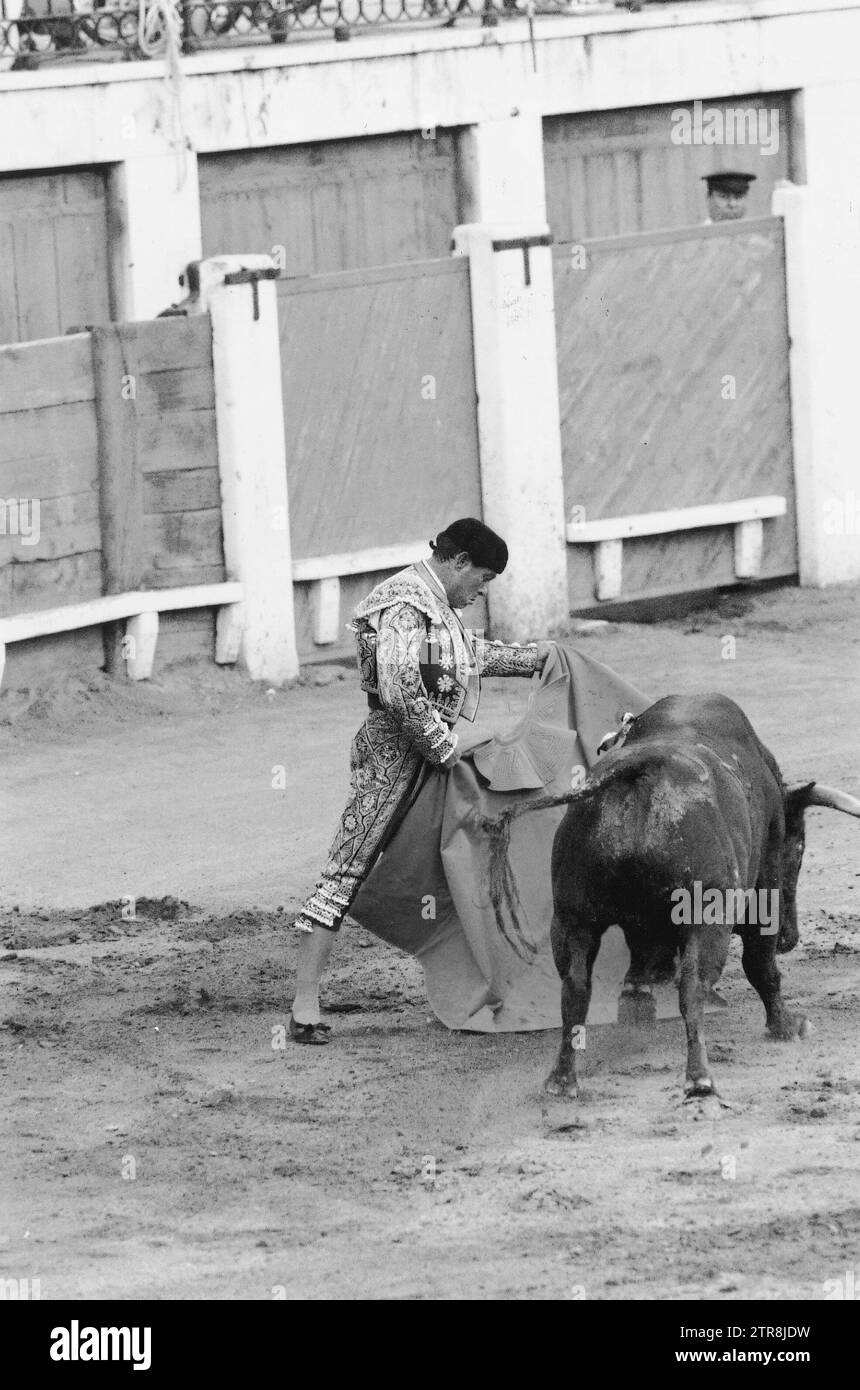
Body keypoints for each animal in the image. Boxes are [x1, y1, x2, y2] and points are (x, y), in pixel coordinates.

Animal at [483, 689, 860, 1100]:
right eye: (800, 849)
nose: (791, 939)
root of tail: (642, 767)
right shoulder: (763, 891)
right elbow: (760, 964)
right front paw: (787, 1026)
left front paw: (638, 1005)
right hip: (706, 917)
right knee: (693, 987)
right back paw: (699, 1077)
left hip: (571, 916)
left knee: (576, 986)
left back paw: (563, 1079)